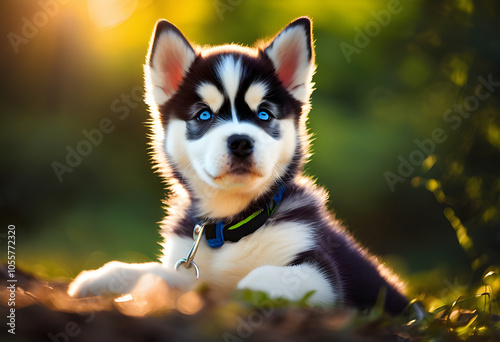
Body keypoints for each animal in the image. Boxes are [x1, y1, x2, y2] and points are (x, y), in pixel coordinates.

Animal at [70, 16, 412, 316]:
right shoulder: (188, 267)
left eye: (264, 114)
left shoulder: (321, 273)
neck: (231, 225)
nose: (241, 142)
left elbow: (260, 276)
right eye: (203, 115)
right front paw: (103, 276)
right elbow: (155, 271)